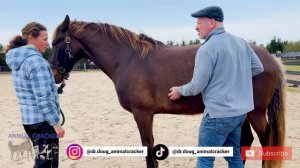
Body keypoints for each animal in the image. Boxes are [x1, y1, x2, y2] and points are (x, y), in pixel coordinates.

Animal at [49, 15, 286, 167]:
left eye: (57, 42)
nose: (54, 75)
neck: (128, 59)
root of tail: (269, 59)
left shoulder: (142, 114)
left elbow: (147, 148)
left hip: (256, 113)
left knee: (267, 142)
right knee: (245, 141)